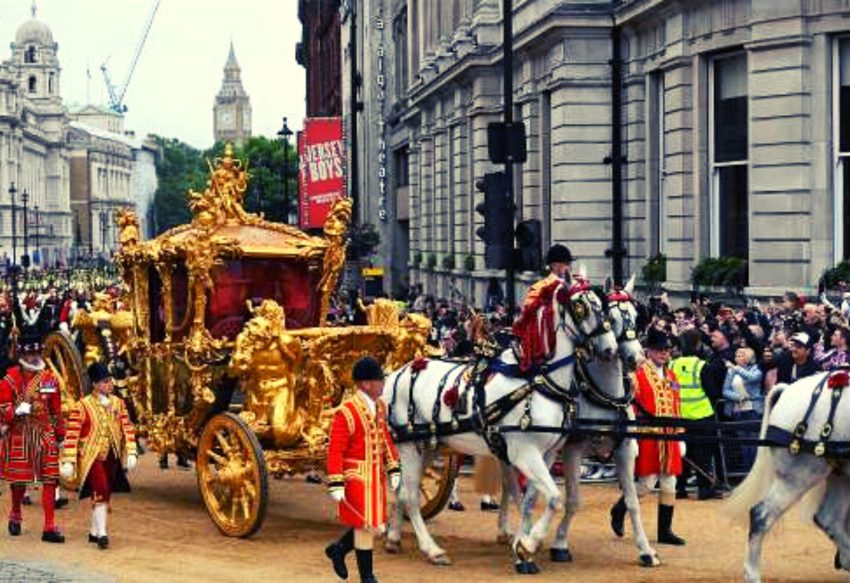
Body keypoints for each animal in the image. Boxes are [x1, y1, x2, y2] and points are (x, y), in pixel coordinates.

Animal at [384, 276, 616, 572]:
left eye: (603, 306)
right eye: (581, 307)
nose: (609, 349)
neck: (539, 382)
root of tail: (399, 372)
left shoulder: (546, 454)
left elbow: (530, 500)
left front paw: (522, 545)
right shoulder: (524, 453)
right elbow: (553, 499)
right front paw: (528, 545)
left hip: (428, 446)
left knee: (402, 490)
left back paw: (393, 538)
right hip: (410, 445)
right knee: (412, 496)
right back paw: (432, 549)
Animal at [512, 276, 660, 568]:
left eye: (636, 317)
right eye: (611, 317)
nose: (635, 358)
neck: (603, 395)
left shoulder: (625, 449)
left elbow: (633, 501)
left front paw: (645, 550)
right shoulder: (573, 448)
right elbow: (573, 500)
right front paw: (558, 544)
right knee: (522, 491)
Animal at [724, 372, 850, 580]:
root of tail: (787, 391)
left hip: (839, 474)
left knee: (830, 519)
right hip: (799, 476)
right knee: (760, 515)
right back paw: (752, 574)